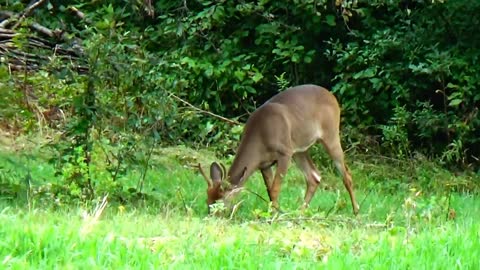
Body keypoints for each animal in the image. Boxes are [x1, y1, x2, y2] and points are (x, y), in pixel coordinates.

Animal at [197, 84, 358, 215]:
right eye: (207, 201)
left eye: (218, 202)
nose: (211, 216)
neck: (260, 136)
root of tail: (332, 96)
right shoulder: (264, 164)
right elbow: (269, 190)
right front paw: (274, 213)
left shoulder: (284, 153)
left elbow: (275, 189)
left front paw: (273, 216)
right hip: (299, 149)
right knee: (314, 176)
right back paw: (299, 212)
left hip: (330, 135)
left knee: (347, 175)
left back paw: (356, 211)